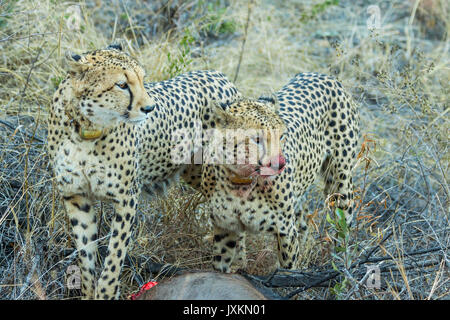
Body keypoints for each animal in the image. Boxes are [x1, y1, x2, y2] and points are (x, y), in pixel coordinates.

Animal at [47, 41, 241, 298]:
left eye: (141, 79)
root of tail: (218, 74)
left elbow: (114, 256)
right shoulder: (76, 196)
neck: (87, 130)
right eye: (121, 85)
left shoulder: (126, 198)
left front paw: (106, 292)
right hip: (195, 173)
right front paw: (89, 292)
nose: (150, 108)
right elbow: (85, 255)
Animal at [200, 73, 358, 272]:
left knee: (343, 225)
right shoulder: (225, 228)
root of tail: (322, 75)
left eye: (281, 136)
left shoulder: (285, 230)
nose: (281, 163)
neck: (240, 180)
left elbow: (288, 270)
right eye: (256, 139)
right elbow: (220, 266)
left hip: (341, 182)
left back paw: (342, 266)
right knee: (304, 221)